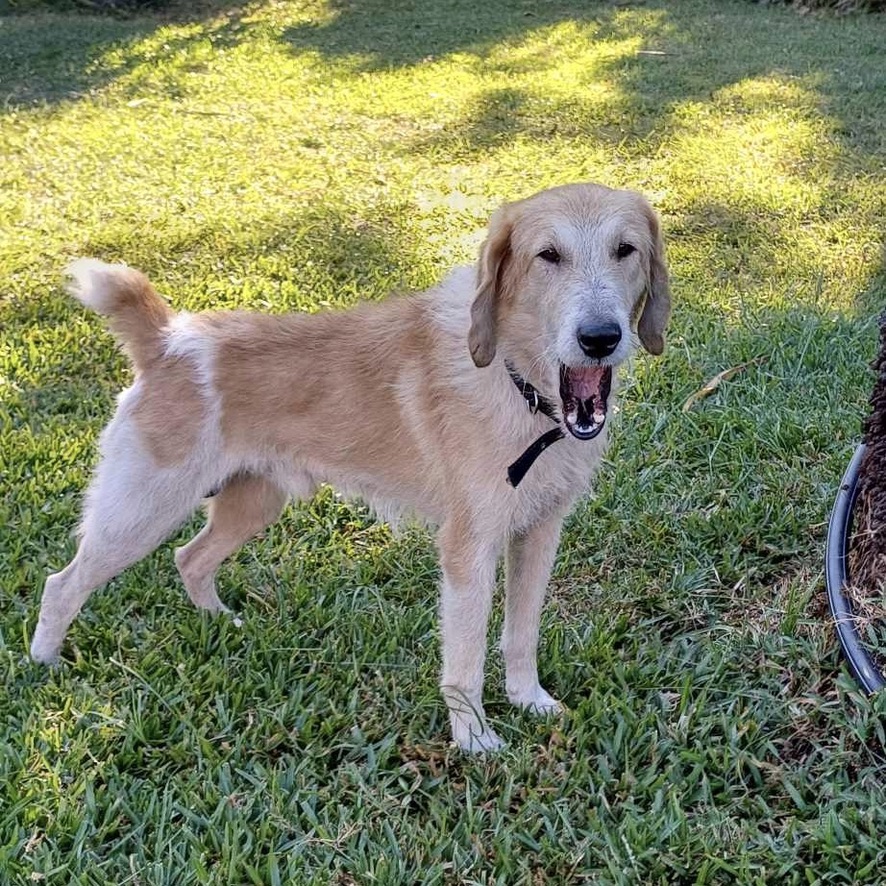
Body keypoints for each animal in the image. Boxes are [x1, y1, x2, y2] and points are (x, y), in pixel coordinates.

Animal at [29, 184, 672, 752]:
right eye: (548, 256)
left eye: (625, 249)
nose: (599, 338)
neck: (519, 384)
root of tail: (168, 340)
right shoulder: (468, 551)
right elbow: (464, 663)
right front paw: (474, 740)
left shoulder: (538, 534)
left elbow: (521, 635)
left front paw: (528, 700)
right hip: (139, 514)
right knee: (63, 584)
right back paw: (45, 664)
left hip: (251, 503)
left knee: (190, 559)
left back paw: (222, 624)